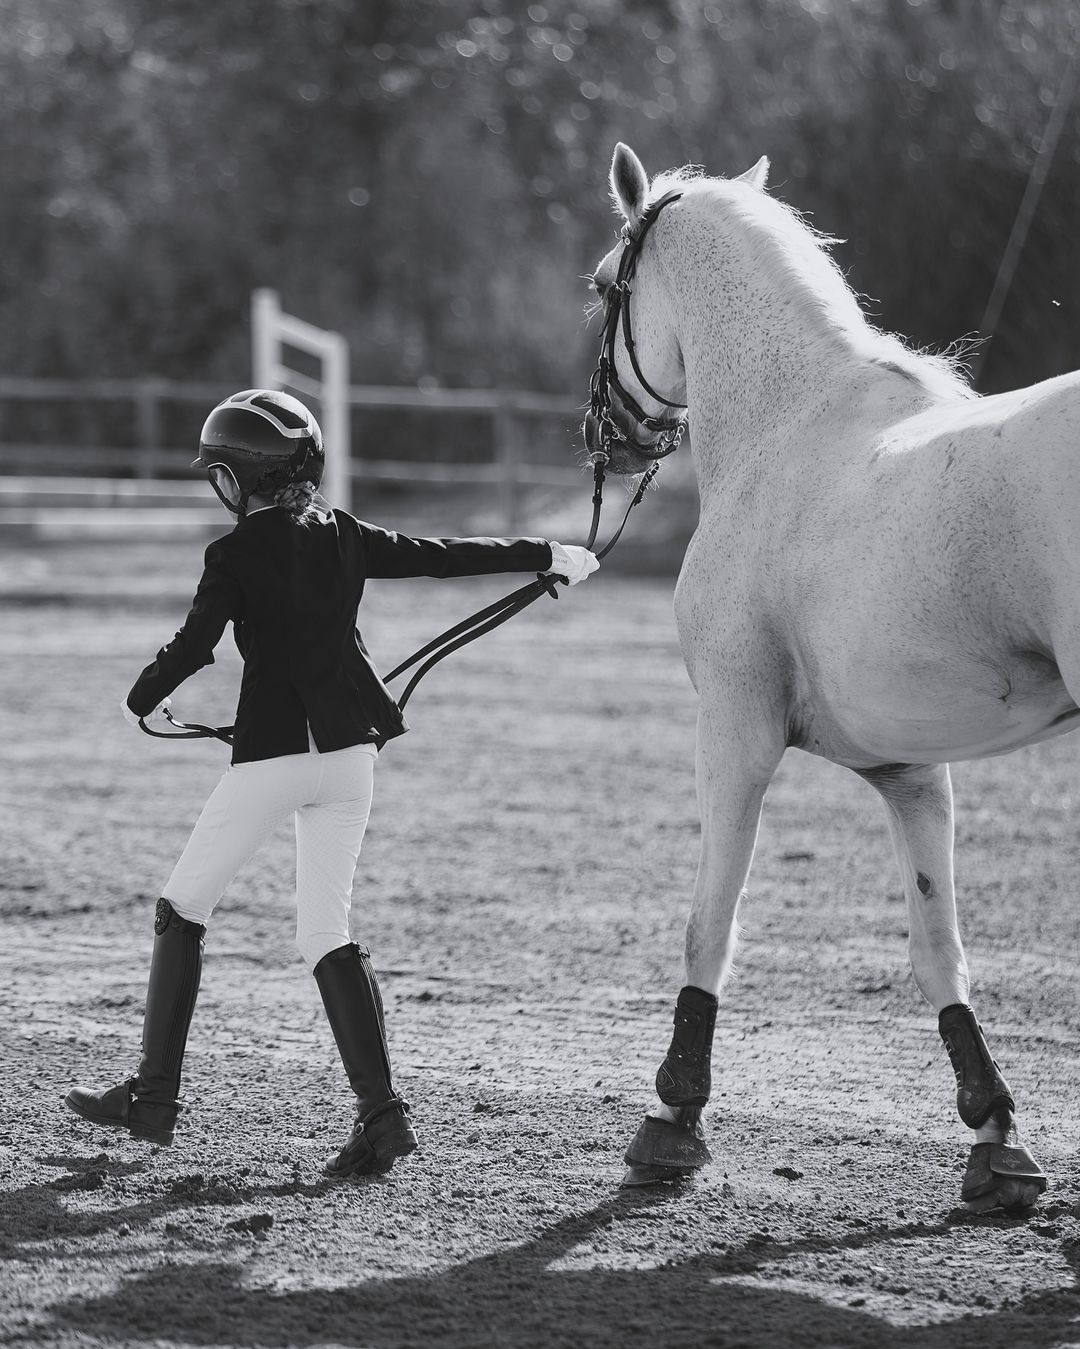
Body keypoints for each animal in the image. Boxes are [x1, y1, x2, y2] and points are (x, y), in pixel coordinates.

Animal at [582, 142, 1078, 1219]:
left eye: (603, 285)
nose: (606, 435)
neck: (789, 426)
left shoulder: (734, 732)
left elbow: (709, 925)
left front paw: (672, 1118)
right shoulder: (910, 771)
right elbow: (938, 949)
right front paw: (995, 1139)